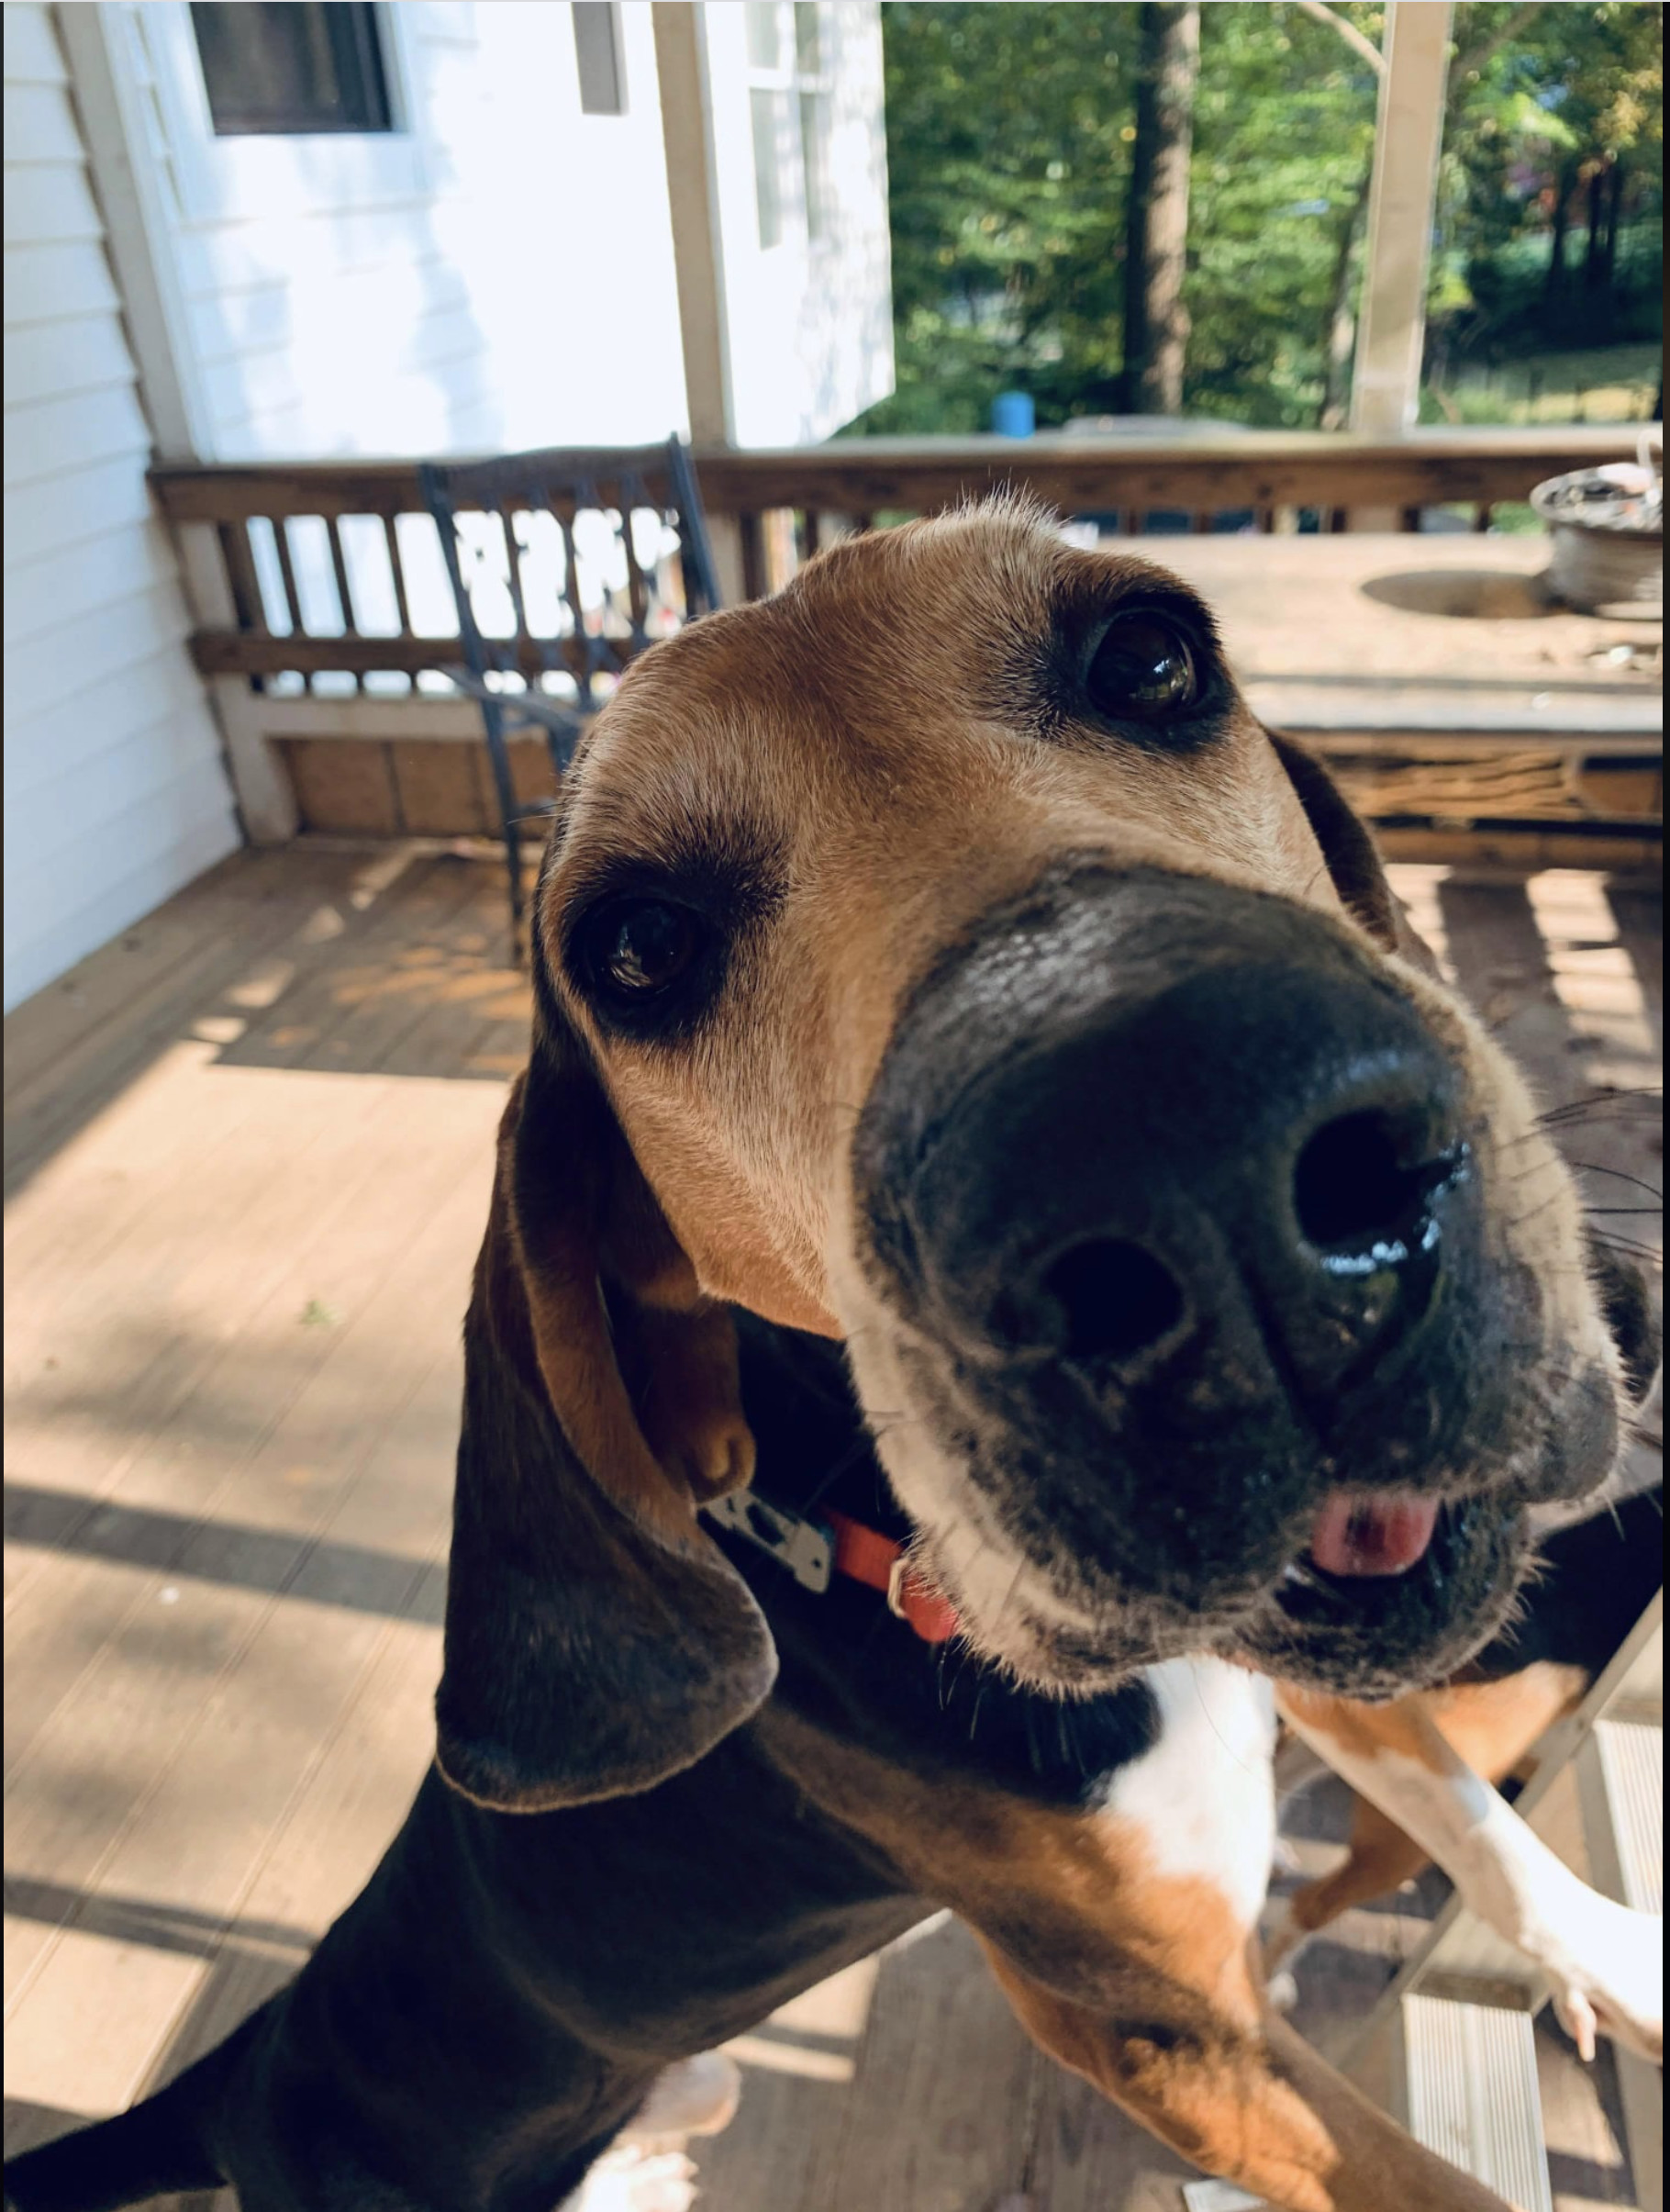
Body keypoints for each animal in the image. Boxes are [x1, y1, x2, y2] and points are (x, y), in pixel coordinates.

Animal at [6, 502, 1663, 2212]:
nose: (1191, 1158)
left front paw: (1611, 1952)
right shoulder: (1160, 2034)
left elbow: (1483, 1825)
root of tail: (250, 2070)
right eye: (639, 944)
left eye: (1152, 656)